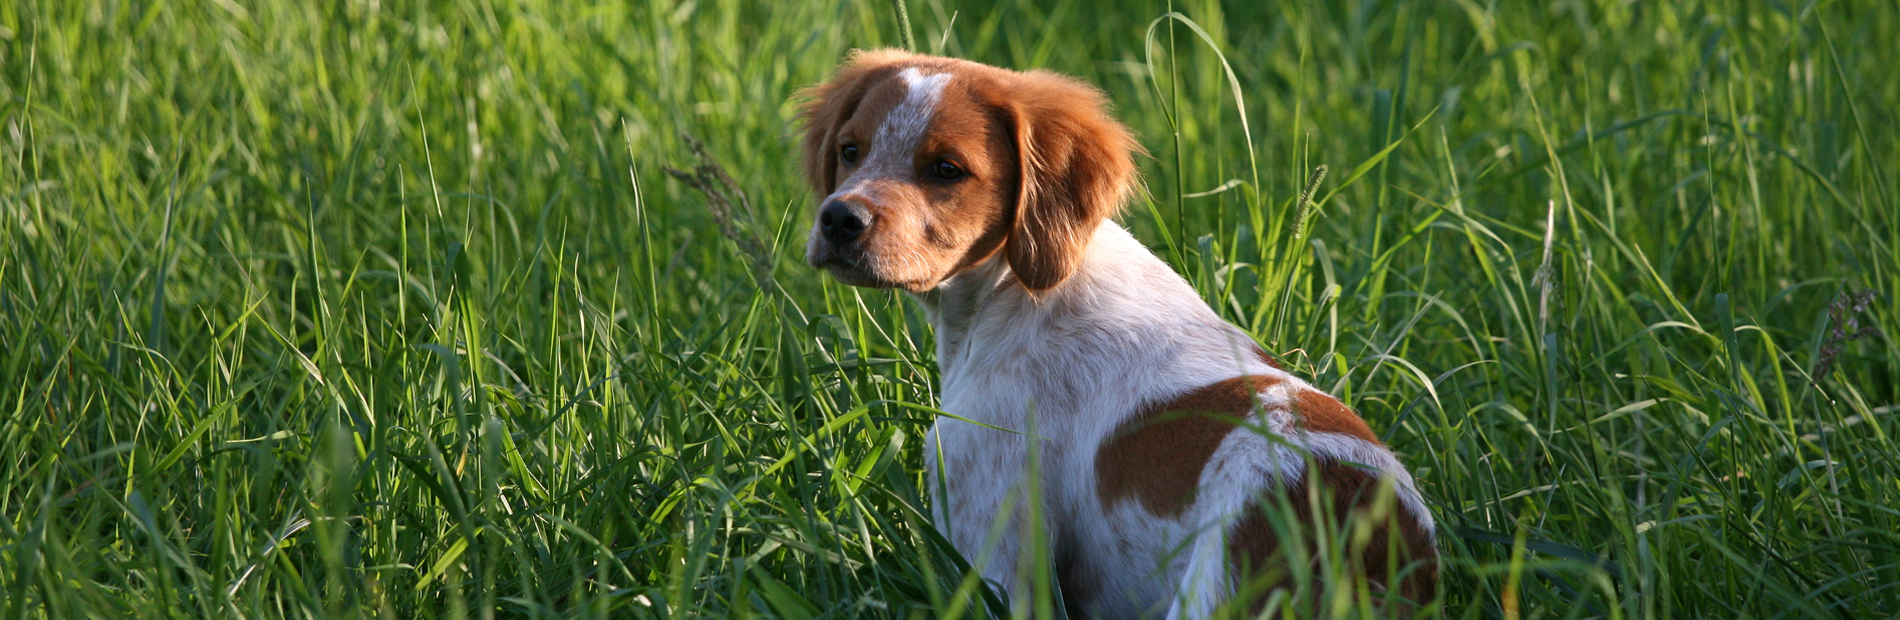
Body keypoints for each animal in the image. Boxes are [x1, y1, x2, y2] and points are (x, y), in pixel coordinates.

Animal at [794, 49, 1428, 620]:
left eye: (947, 169)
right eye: (850, 151)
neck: (1011, 293)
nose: (839, 218)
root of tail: (1369, 531)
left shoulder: (995, 537)